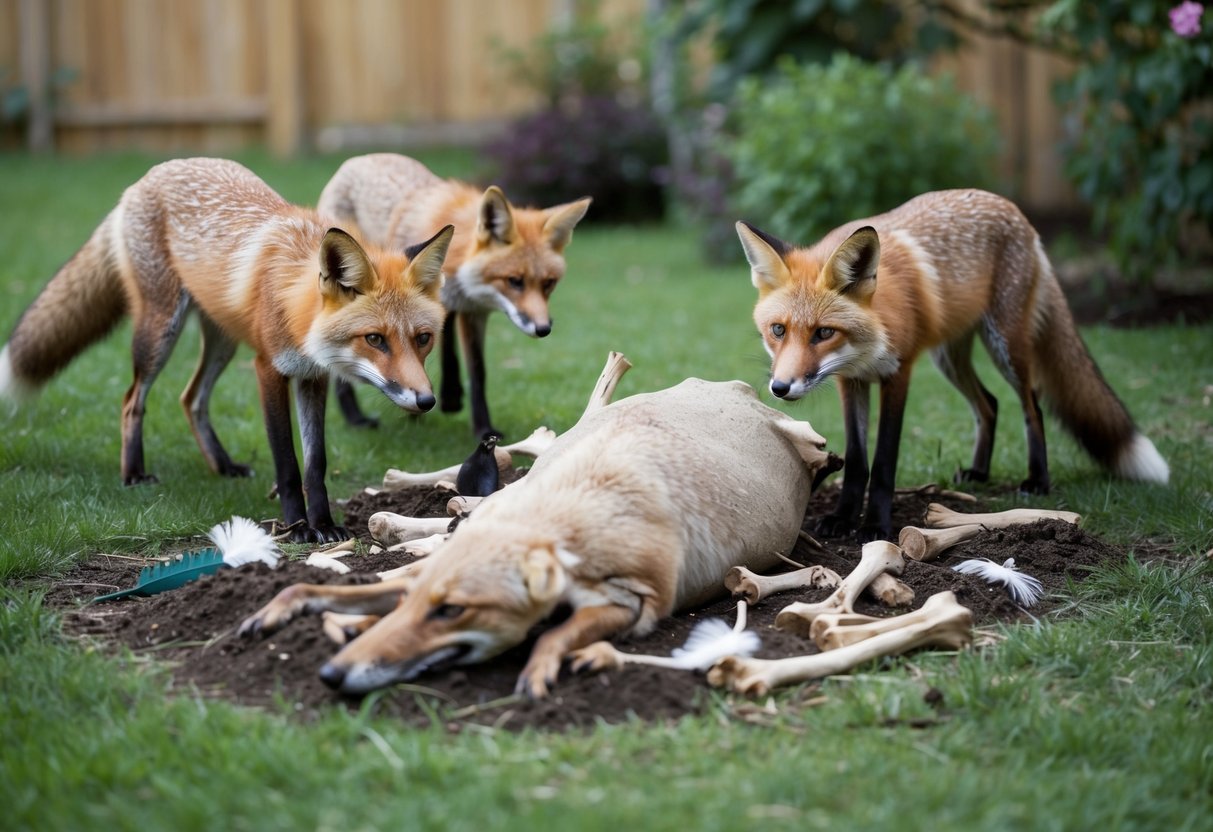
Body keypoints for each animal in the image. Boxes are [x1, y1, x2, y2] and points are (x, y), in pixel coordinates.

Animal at [0, 158, 452, 543]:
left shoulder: (312, 377)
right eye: (375, 339)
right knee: (132, 400)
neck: (293, 303)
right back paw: (134, 474)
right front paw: (298, 528)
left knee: (191, 398)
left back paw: (221, 464)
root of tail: (150, 175)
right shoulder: (268, 369)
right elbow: (288, 464)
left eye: (423, 338)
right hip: (160, 329)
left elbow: (315, 464)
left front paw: (324, 524)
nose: (427, 401)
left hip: (222, 341)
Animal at [237, 373, 838, 698]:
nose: (332, 675)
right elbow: (356, 586)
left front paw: (543, 665)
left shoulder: (635, 602)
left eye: (453, 613)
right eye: (432, 607)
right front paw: (292, 605)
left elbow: (557, 634)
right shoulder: (431, 571)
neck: (551, 525)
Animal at [316, 153, 592, 438]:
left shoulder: (473, 312)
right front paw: (435, 403)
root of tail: (360, 159)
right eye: (515, 281)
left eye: (548, 283)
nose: (543, 329)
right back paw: (356, 417)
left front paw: (483, 427)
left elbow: (477, 371)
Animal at [736, 189, 1169, 543]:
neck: (870, 343)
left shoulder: (898, 373)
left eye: (824, 333)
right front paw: (842, 519)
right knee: (989, 404)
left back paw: (1037, 479)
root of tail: (1014, 210)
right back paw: (979, 473)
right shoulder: (851, 380)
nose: (780, 388)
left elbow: (884, 461)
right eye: (778, 330)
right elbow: (857, 461)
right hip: (950, 357)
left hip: (1005, 346)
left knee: (1032, 406)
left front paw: (875, 526)